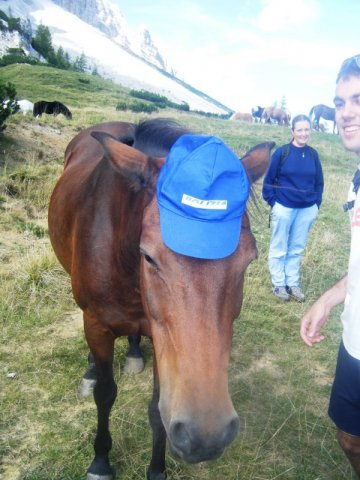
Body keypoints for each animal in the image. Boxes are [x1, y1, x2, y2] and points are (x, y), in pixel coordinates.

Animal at [47, 117, 272, 480]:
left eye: (249, 260)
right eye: (149, 257)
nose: (205, 435)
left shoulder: (161, 339)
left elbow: (156, 410)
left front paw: (156, 469)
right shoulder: (97, 325)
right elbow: (105, 395)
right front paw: (100, 461)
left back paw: (134, 353)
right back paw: (91, 370)